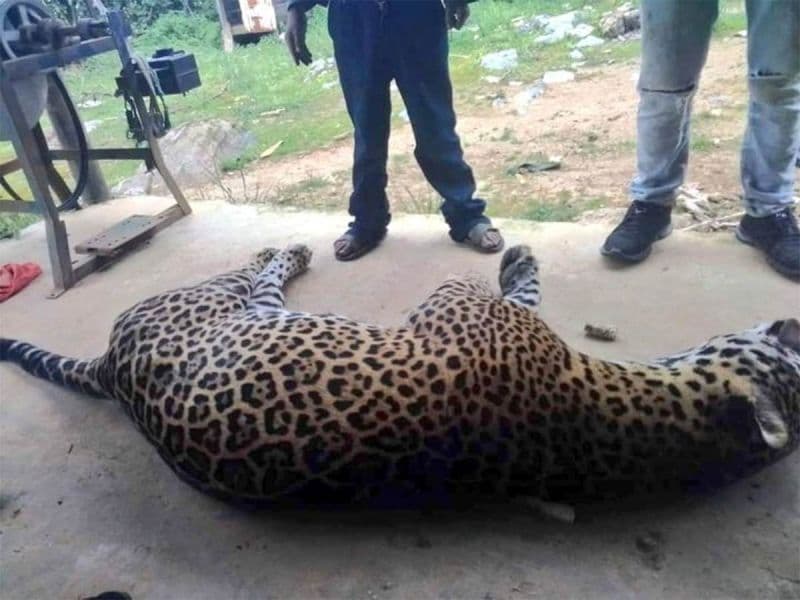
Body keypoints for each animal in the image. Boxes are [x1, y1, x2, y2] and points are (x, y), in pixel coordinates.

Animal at [1, 244, 798, 506]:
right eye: (792, 360)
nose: (789, 325)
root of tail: (112, 366)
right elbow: (521, 288)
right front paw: (520, 258)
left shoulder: (455, 303)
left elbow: (507, 288)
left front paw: (518, 260)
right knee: (260, 281)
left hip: (215, 304)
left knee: (254, 279)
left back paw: (284, 248)